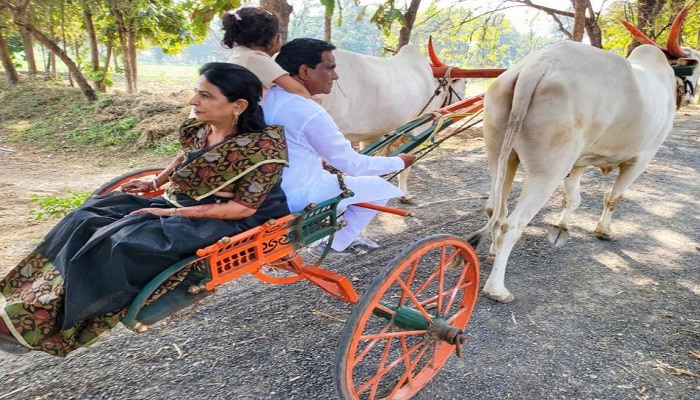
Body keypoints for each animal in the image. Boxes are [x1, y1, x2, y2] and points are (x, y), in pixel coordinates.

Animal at [464, 6, 696, 302]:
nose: (691, 97)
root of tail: (537, 66)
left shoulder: (578, 161)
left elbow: (572, 198)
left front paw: (562, 227)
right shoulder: (641, 158)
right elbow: (614, 198)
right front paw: (603, 230)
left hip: (499, 154)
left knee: (496, 209)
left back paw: (493, 252)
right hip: (547, 171)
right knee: (511, 225)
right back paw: (497, 289)